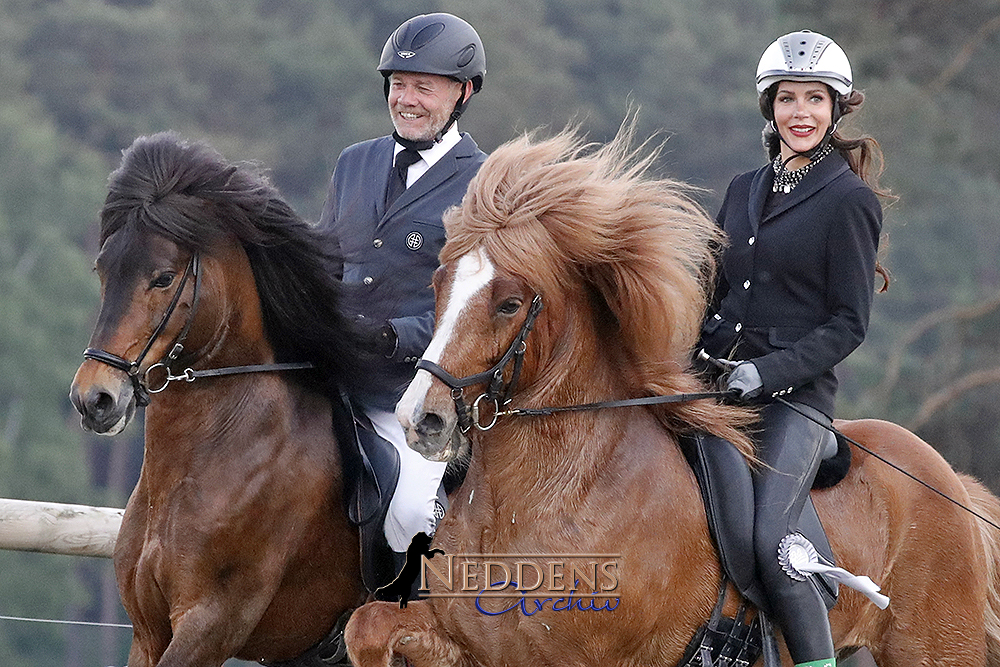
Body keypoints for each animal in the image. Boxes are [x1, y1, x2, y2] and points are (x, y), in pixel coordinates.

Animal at [342, 128, 1000, 664]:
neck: (550, 493)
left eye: (508, 303)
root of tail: (953, 486)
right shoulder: (470, 640)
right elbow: (365, 627)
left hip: (936, 646)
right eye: (439, 283)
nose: (421, 418)